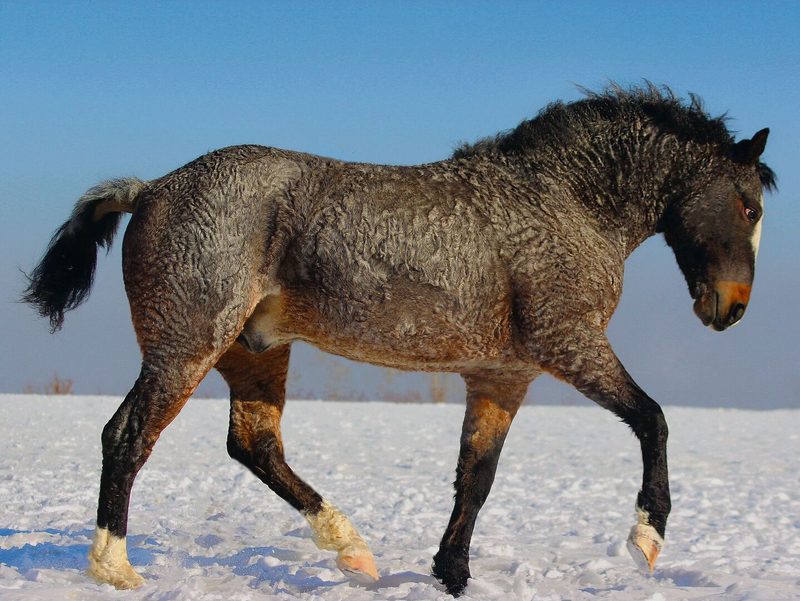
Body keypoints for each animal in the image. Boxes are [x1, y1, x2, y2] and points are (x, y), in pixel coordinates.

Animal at [23, 85, 775, 596]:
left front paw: (451, 572)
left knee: (254, 445)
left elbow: (476, 477)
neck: (564, 205)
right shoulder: (570, 344)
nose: (734, 308)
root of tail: (150, 188)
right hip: (187, 347)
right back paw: (115, 567)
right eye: (747, 205)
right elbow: (653, 419)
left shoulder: (502, 377)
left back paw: (351, 547)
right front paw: (647, 540)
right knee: (128, 435)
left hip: (255, 350)